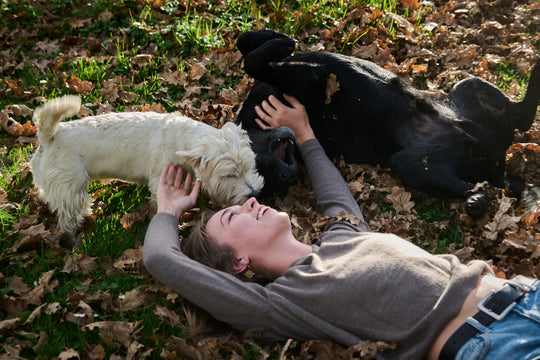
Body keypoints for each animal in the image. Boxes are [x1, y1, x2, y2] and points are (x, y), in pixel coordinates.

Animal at [30, 95, 264, 239]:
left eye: (250, 167)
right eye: (231, 175)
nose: (254, 193)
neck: (184, 141)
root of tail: (50, 136)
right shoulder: (159, 177)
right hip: (69, 184)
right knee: (67, 215)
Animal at [235, 30, 540, 217]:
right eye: (265, 181)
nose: (285, 176)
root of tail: (497, 162)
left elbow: (244, 44)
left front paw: (275, 39)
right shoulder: (312, 80)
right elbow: (251, 61)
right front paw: (277, 43)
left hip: (468, 85)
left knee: (521, 115)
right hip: (411, 164)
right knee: (486, 179)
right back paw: (477, 199)